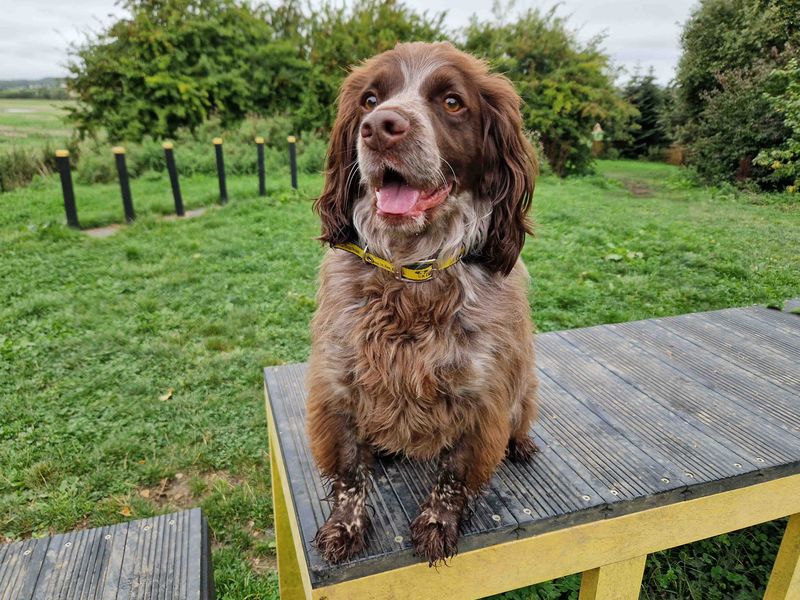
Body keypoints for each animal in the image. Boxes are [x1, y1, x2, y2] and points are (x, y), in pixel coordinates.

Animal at [306, 42, 536, 568]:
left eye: (452, 102)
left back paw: (521, 444)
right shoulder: (338, 386)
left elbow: (454, 475)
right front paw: (345, 525)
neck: (411, 274)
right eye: (370, 100)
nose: (380, 127)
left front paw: (437, 523)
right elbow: (349, 472)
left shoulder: (482, 397)